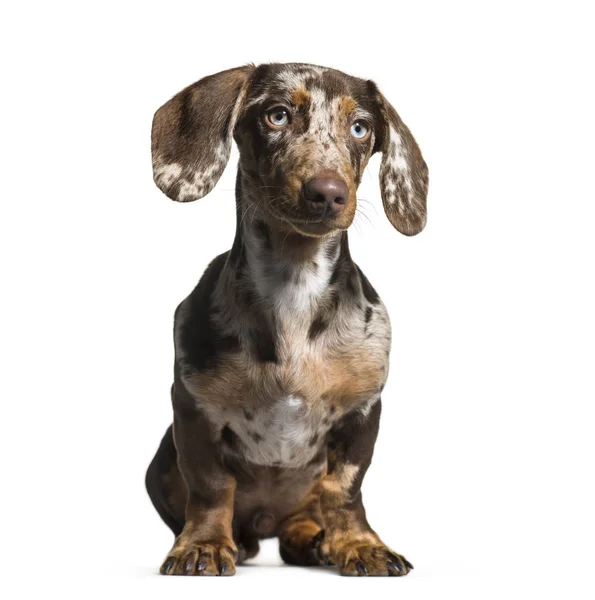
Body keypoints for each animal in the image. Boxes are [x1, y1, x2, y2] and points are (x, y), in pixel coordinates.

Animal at [147, 61, 430, 576]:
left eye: (360, 128)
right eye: (277, 116)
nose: (328, 193)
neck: (295, 286)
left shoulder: (363, 413)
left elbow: (344, 491)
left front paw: (359, 544)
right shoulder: (193, 409)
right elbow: (211, 488)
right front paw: (203, 545)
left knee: (306, 514)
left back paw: (311, 540)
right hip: (159, 464)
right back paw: (235, 541)